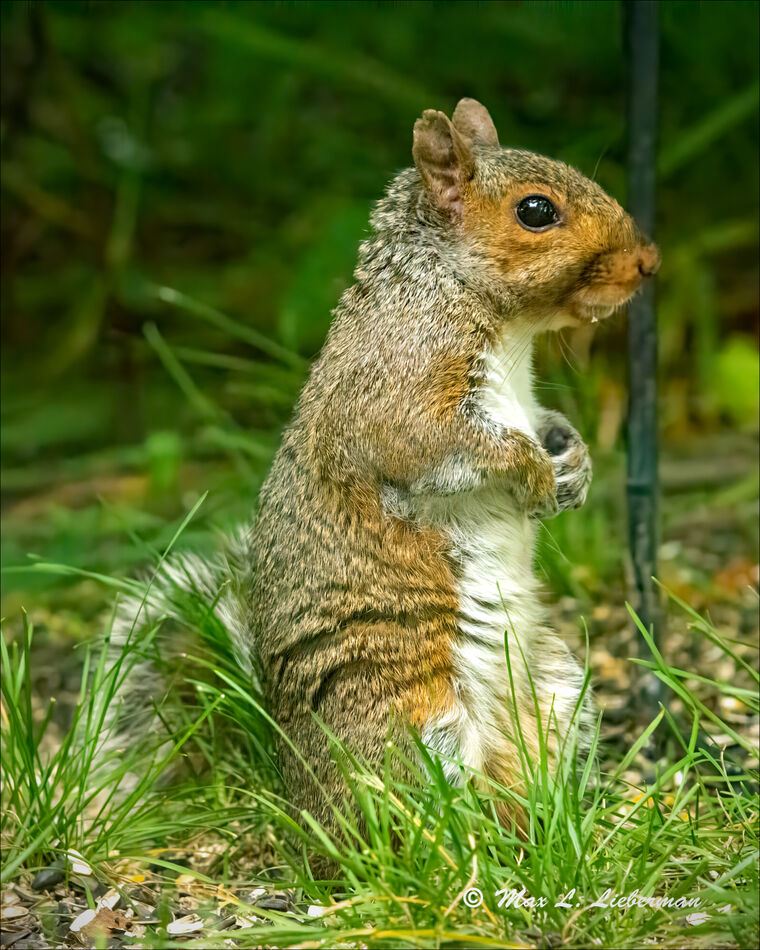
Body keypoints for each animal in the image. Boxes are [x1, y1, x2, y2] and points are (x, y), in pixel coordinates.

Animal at [108, 98, 660, 848]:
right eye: (536, 211)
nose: (648, 261)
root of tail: (297, 799)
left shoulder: (524, 399)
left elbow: (546, 424)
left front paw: (574, 463)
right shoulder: (398, 391)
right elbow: (445, 447)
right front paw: (535, 476)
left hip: (554, 695)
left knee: (517, 790)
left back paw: (545, 832)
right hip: (407, 722)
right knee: (401, 826)